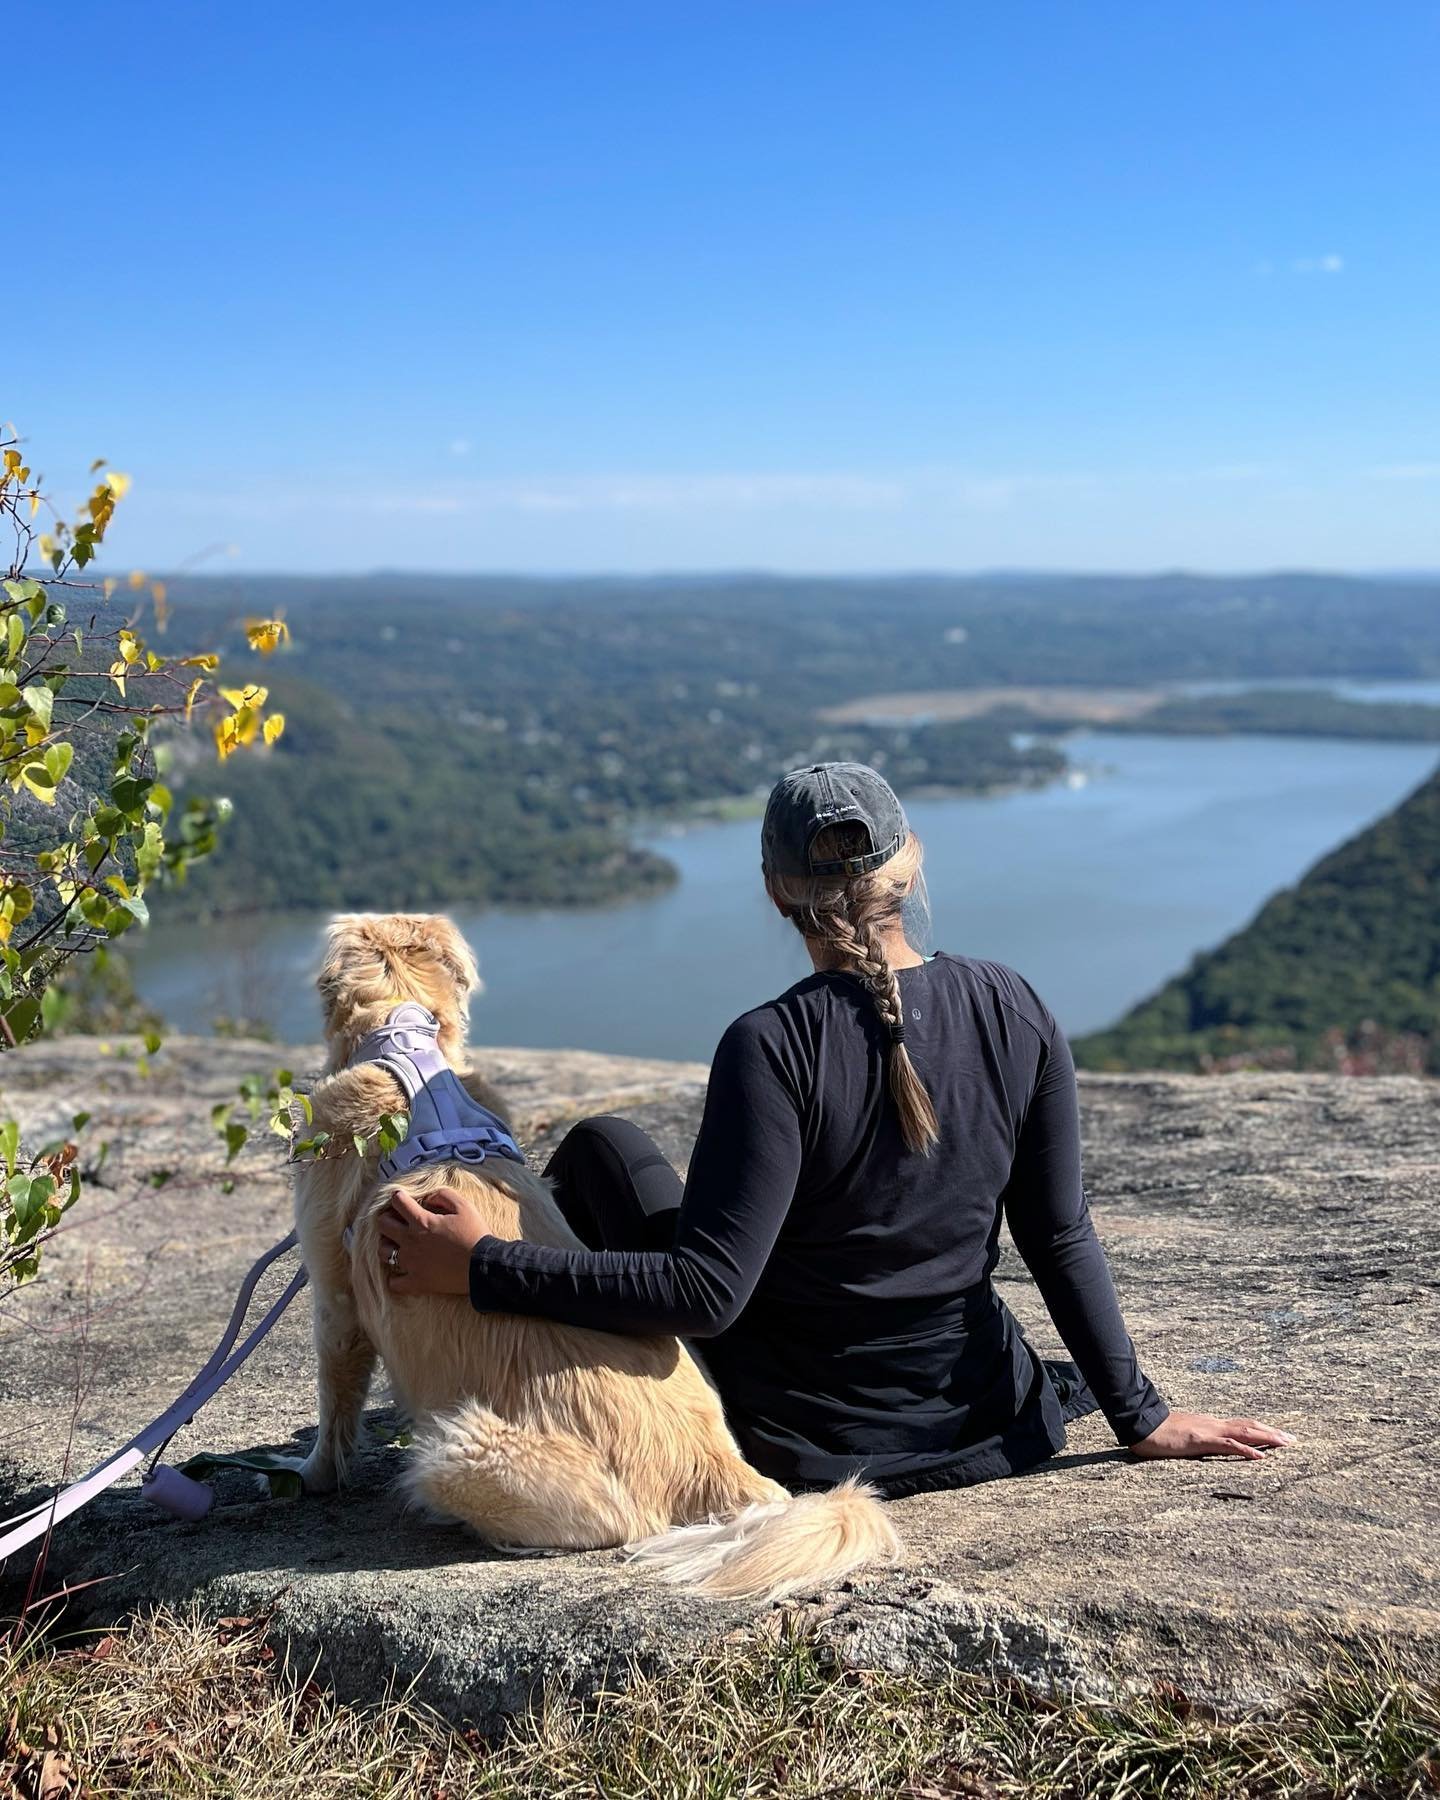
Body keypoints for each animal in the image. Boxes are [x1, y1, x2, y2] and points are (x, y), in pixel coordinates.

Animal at [288, 914, 900, 1605]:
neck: (406, 1049)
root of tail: (724, 1471)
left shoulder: (335, 1295)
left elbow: (335, 1397)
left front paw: (311, 1474)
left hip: (455, 1447)